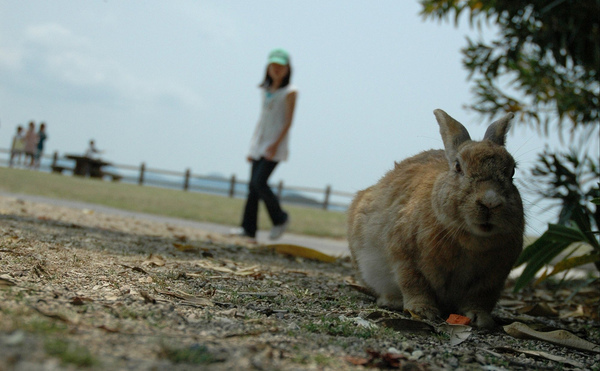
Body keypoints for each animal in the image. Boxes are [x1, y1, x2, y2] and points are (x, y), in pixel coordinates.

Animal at [350, 109, 524, 328]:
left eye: (512, 171)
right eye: (458, 166)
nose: (490, 202)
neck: (472, 239)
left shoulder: (493, 278)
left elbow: (480, 297)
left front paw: (481, 319)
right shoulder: (404, 256)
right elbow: (414, 283)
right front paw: (423, 311)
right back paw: (392, 301)